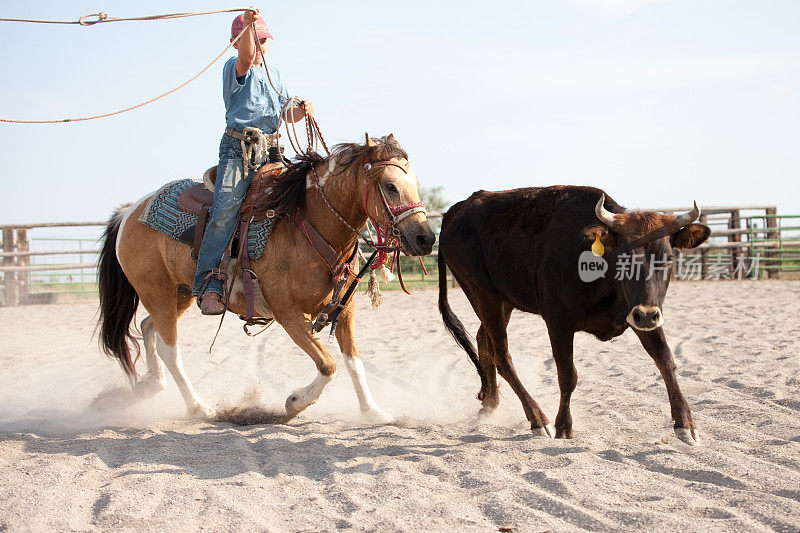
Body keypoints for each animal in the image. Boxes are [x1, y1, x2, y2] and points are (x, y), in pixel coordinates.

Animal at [96, 135, 434, 422]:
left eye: (415, 183)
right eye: (390, 185)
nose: (425, 238)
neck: (309, 224)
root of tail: (129, 212)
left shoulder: (344, 310)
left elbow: (354, 362)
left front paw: (372, 413)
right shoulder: (289, 314)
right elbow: (328, 364)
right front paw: (295, 403)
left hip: (180, 293)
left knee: (148, 327)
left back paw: (150, 386)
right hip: (157, 292)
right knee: (170, 349)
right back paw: (199, 408)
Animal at [440, 187, 708, 444]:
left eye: (669, 258)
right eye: (624, 257)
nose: (645, 315)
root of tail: (454, 211)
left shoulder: (641, 312)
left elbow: (665, 360)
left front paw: (685, 424)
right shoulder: (558, 321)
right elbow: (568, 375)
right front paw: (563, 426)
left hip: (503, 300)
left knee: (484, 343)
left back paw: (490, 404)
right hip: (483, 294)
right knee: (502, 355)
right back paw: (538, 419)